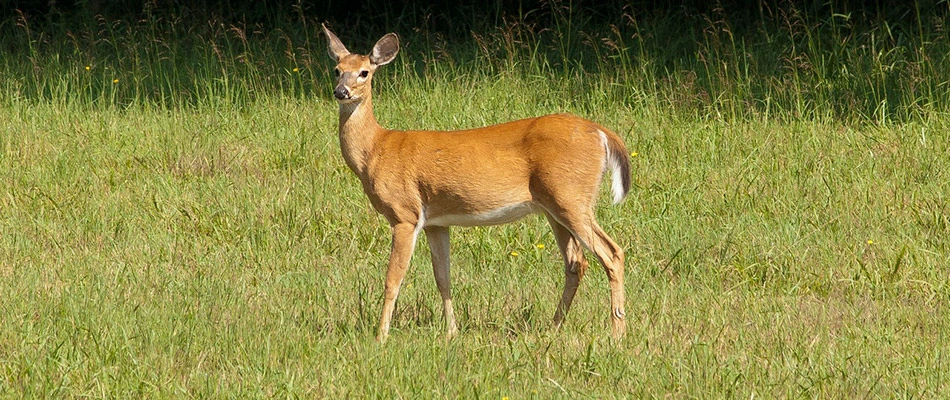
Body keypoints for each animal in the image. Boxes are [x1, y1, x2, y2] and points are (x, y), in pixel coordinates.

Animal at [324, 24, 636, 344]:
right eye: (337, 70)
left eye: (364, 72)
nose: (341, 92)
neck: (376, 149)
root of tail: (602, 133)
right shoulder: (436, 222)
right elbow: (443, 278)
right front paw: (451, 332)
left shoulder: (405, 214)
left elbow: (392, 279)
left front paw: (380, 336)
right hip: (554, 206)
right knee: (576, 262)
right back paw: (554, 326)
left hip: (571, 197)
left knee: (612, 253)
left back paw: (617, 333)